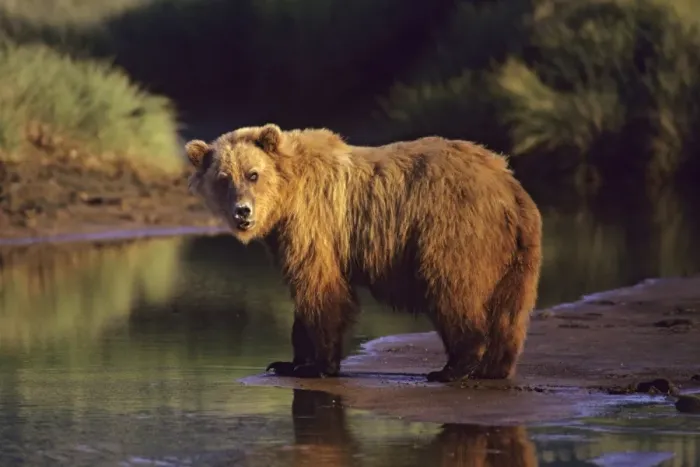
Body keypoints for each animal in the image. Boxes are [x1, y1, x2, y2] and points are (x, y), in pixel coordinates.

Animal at [185, 123, 542, 382]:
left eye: (253, 174)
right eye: (223, 179)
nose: (242, 212)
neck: (286, 199)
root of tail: (510, 187)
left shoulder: (316, 223)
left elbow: (321, 290)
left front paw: (318, 365)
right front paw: (288, 362)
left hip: (455, 230)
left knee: (453, 289)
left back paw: (452, 368)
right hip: (516, 253)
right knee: (510, 310)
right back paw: (495, 367)